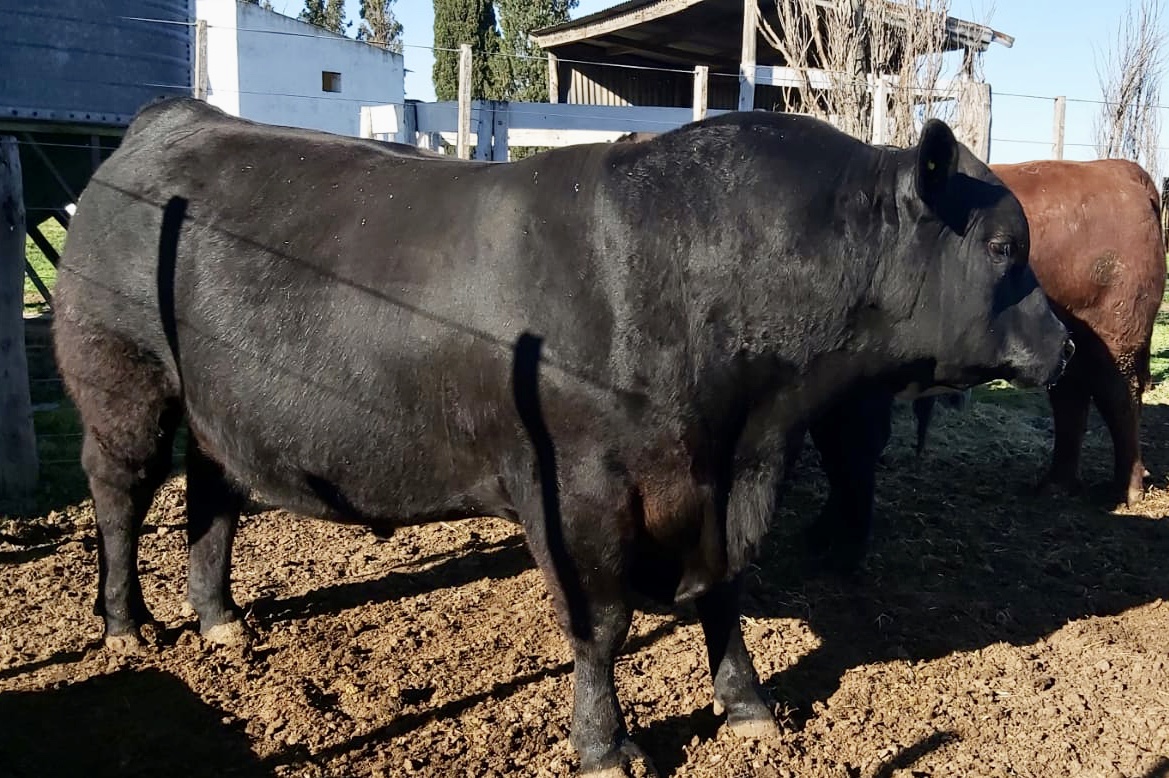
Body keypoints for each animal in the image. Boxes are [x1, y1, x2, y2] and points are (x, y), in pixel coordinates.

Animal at [56, 98, 1075, 775]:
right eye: (1001, 248)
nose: (1063, 345)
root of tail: (170, 120)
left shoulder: (716, 487)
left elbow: (723, 594)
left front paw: (746, 704)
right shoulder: (578, 492)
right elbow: (603, 625)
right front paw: (604, 745)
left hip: (222, 411)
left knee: (212, 502)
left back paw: (220, 618)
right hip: (124, 383)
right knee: (120, 496)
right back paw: (126, 624)